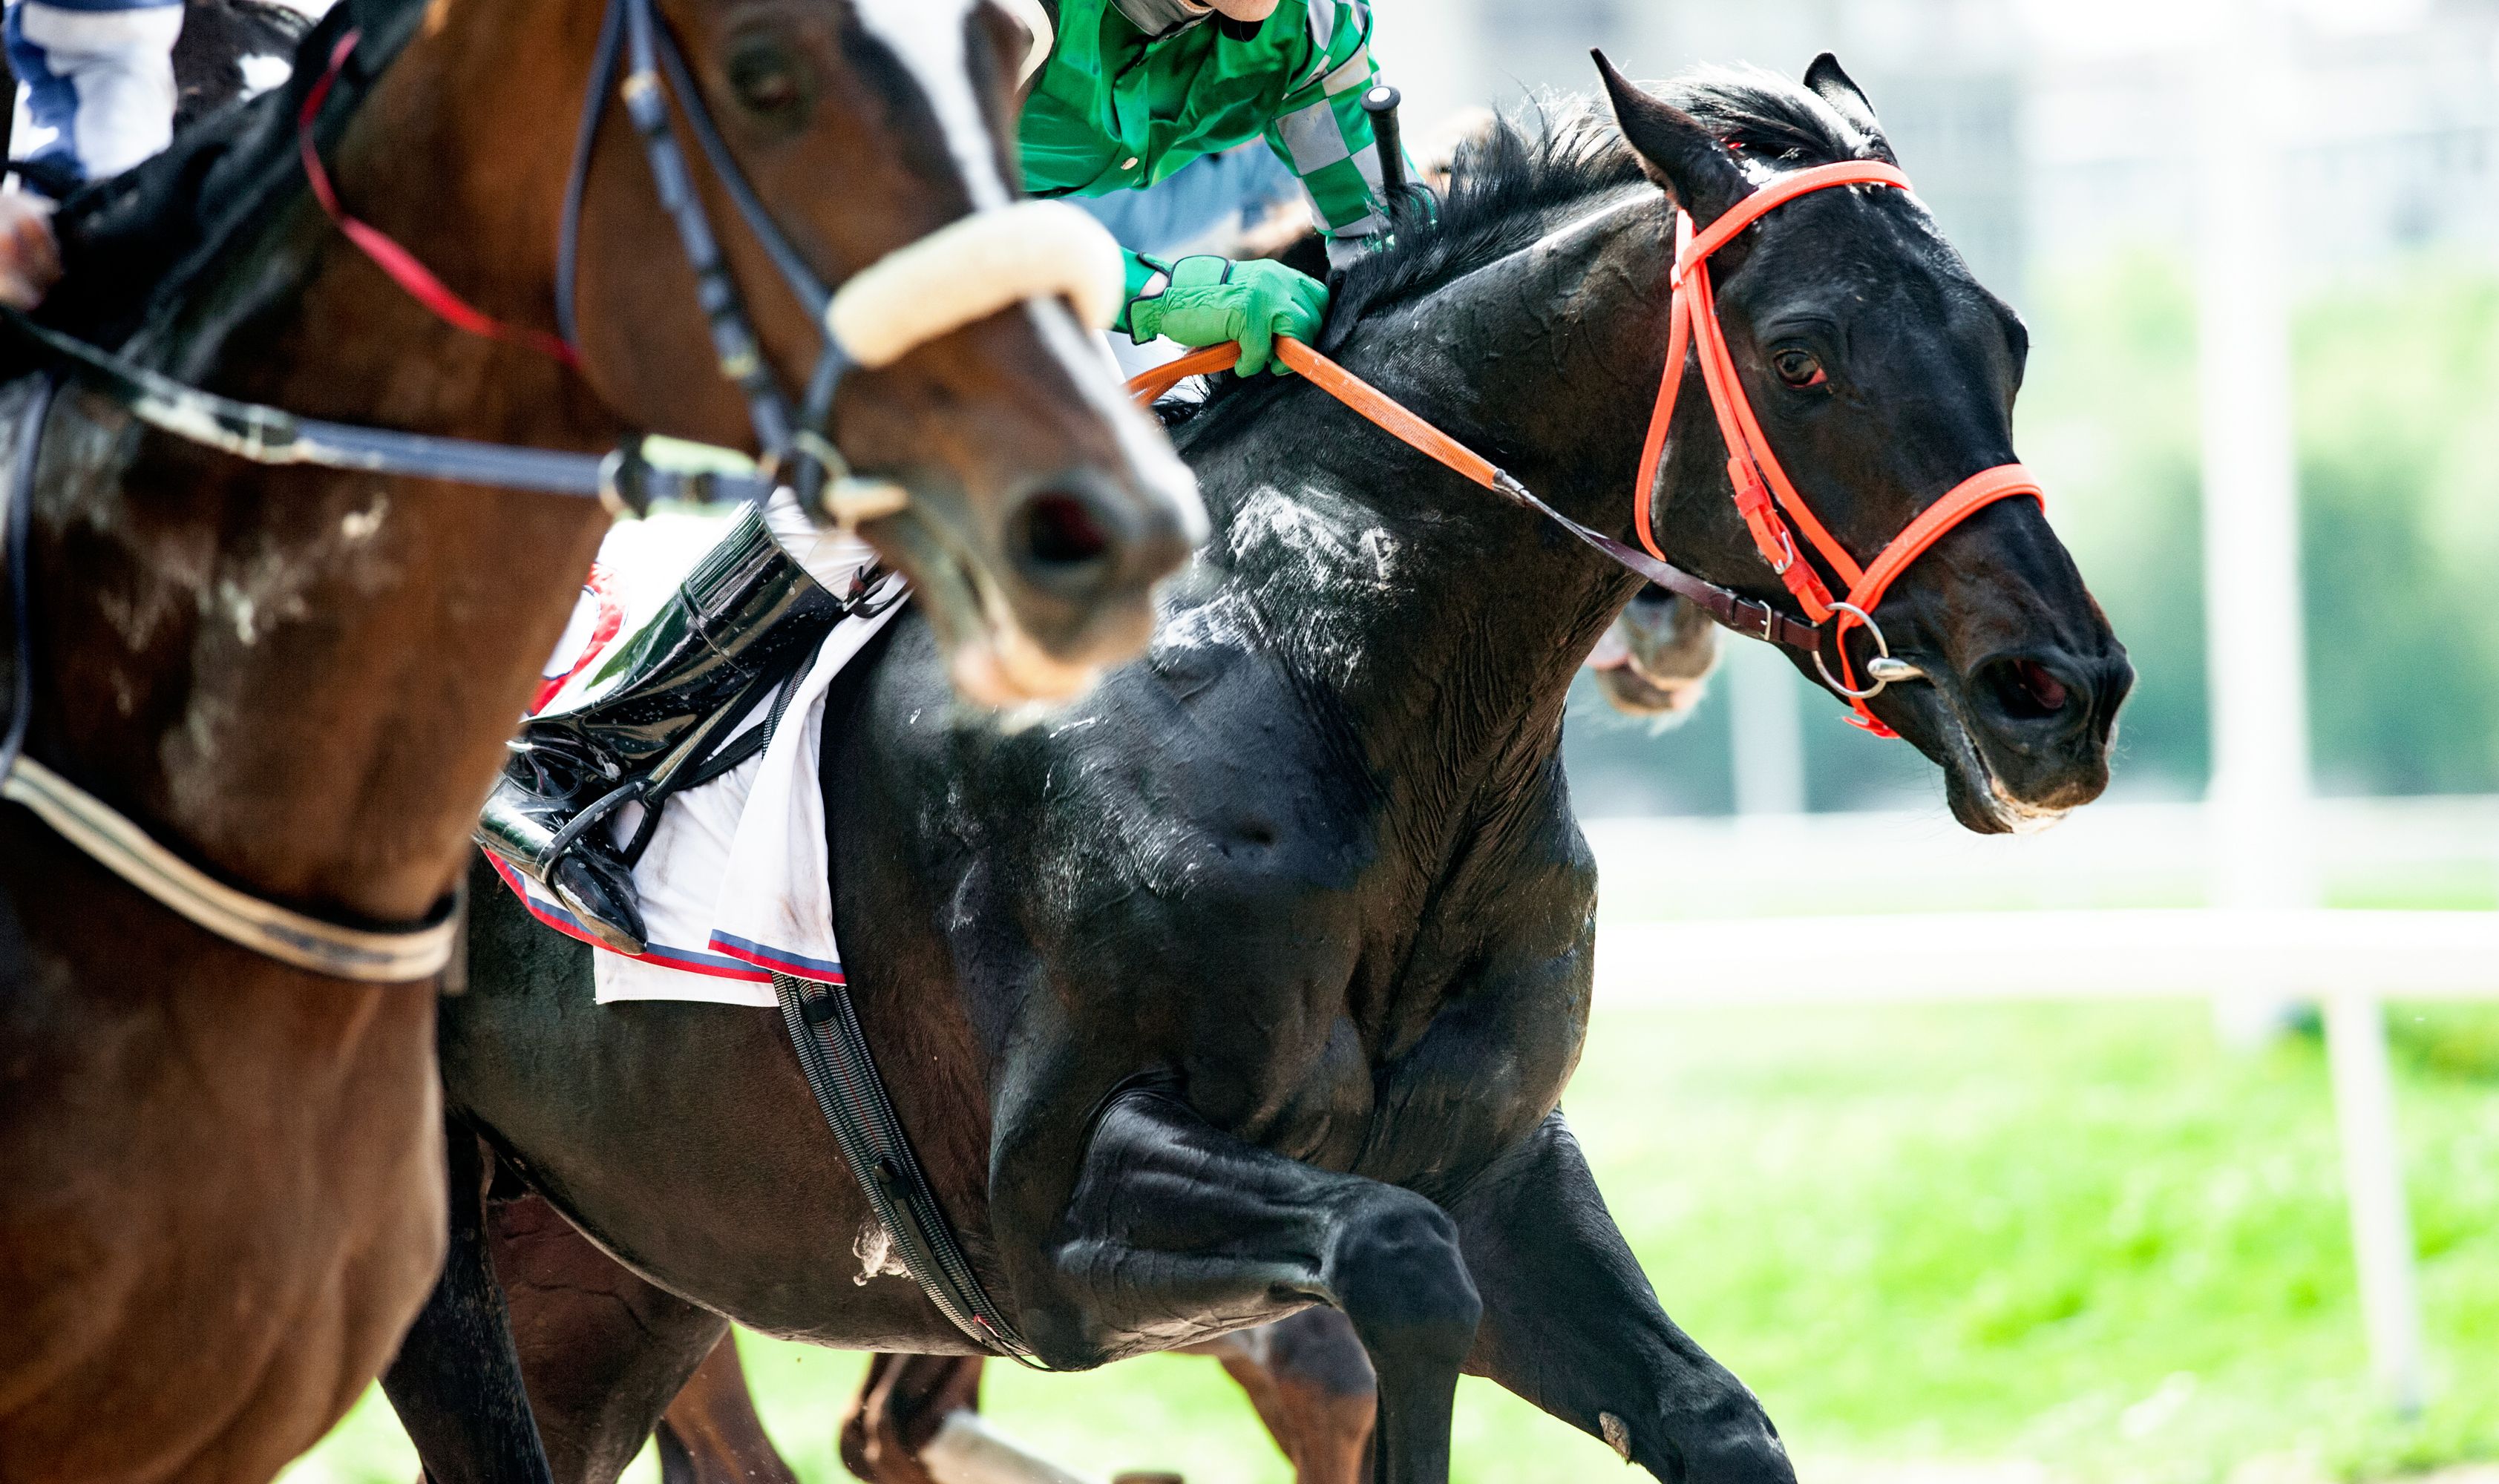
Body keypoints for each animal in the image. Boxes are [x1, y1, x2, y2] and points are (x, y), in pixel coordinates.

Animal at [399, 54, 2132, 1484]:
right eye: (1802, 357)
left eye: (2006, 337)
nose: (2062, 694)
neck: (1321, 680)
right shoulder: (1055, 1214)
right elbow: (1398, 1274)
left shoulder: (1501, 1165)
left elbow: (1700, 1414)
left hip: (608, 1285)